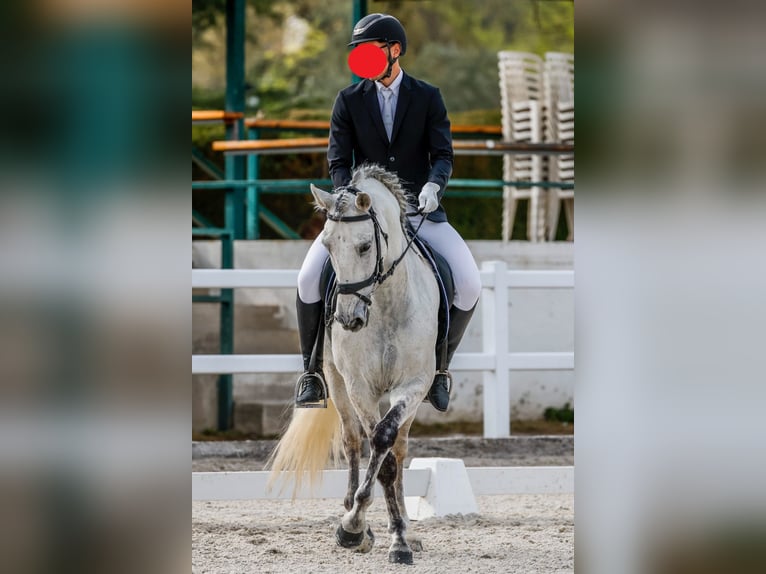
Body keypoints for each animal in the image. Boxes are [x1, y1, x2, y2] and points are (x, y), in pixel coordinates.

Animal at [268, 164, 440, 565]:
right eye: (328, 245)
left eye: (364, 246)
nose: (347, 319)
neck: (387, 302)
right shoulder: (360, 386)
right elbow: (376, 451)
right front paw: (355, 527)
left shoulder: (413, 384)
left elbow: (386, 443)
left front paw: (400, 538)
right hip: (335, 379)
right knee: (350, 439)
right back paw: (354, 514)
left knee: (399, 447)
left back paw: (404, 525)